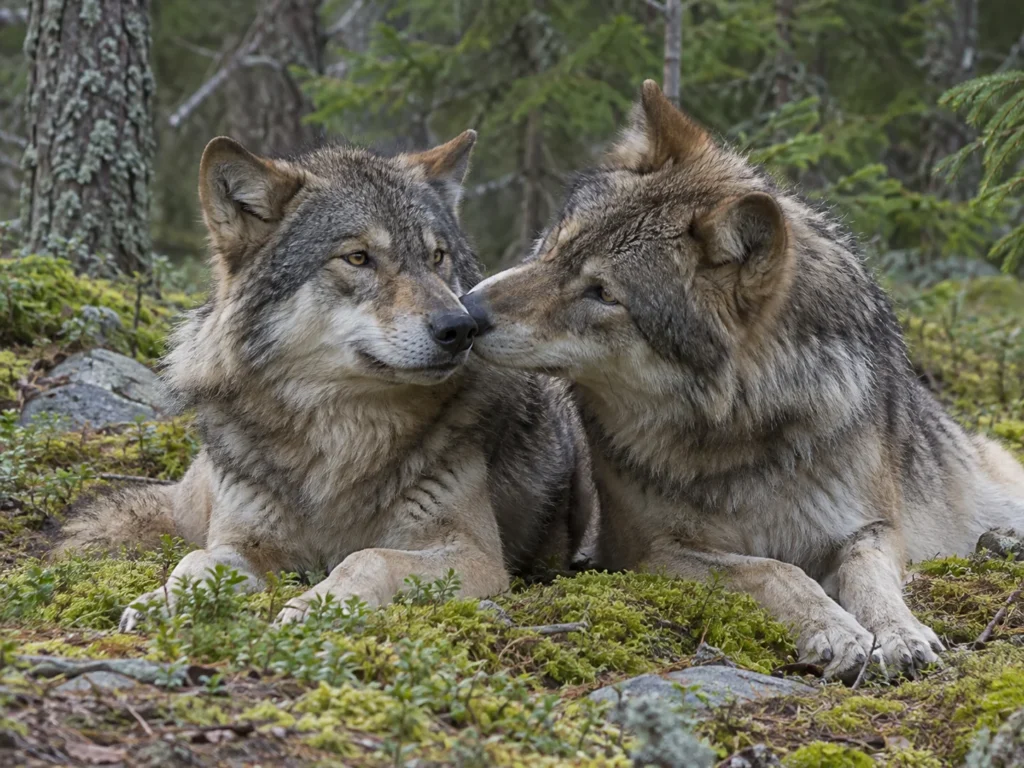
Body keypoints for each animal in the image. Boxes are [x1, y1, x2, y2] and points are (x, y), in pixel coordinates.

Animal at [59, 131, 593, 629]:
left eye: (437, 256)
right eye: (357, 258)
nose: (460, 328)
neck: (341, 432)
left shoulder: (475, 555)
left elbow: (367, 557)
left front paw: (319, 604)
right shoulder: (242, 542)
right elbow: (196, 559)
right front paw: (161, 600)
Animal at [461, 80, 1024, 680]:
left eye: (603, 294)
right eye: (555, 246)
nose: (468, 311)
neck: (745, 436)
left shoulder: (873, 527)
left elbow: (868, 576)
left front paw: (899, 633)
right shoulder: (649, 552)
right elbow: (773, 569)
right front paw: (835, 629)